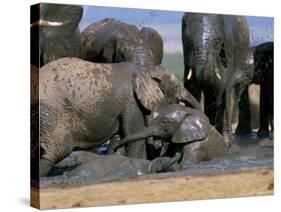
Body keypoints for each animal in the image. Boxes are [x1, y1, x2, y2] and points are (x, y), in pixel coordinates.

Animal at [37, 56, 199, 176]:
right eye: (177, 86)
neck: (144, 70)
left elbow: (121, 136)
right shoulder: (132, 102)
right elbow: (134, 136)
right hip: (51, 112)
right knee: (60, 148)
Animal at [180, 12, 248, 146]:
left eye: (217, 42)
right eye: (188, 41)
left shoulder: (227, 50)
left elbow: (221, 88)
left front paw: (223, 141)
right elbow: (191, 88)